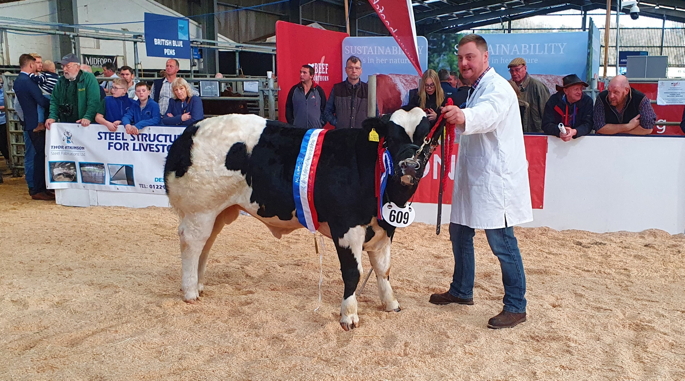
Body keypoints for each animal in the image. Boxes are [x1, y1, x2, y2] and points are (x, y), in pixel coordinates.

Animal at [164, 107, 432, 330]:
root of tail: (193, 129)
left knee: (205, 245)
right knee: (192, 243)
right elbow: (352, 272)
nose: (410, 165)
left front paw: (391, 304)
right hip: (200, 209)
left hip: (218, 212)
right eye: (391, 139)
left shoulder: (384, 227)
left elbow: (383, 269)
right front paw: (349, 316)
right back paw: (190, 291)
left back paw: (199, 285)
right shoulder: (346, 226)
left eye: (426, 139)